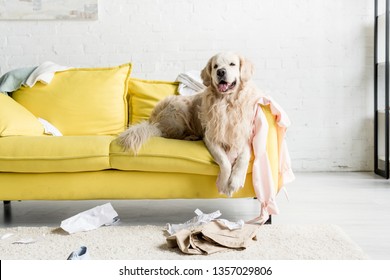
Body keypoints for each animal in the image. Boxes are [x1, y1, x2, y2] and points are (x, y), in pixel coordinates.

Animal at [117, 53, 264, 197]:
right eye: (215, 66)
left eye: (232, 64)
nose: (220, 72)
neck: (227, 103)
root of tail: (152, 120)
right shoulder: (210, 138)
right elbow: (225, 161)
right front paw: (223, 184)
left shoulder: (242, 136)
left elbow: (243, 159)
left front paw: (235, 181)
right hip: (179, 109)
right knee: (167, 134)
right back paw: (190, 137)